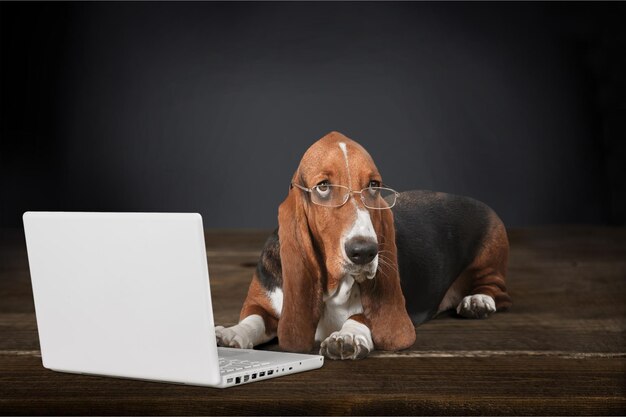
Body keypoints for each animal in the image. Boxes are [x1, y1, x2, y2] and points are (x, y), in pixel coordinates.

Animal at [217, 132, 510, 360]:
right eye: (323, 186)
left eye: (373, 185)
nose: (365, 252)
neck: (332, 289)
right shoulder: (261, 302)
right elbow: (253, 319)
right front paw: (231, 333)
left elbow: (362, 316)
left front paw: (347, 337)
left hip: (490, 255)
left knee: (497, 288)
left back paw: (478, 300)